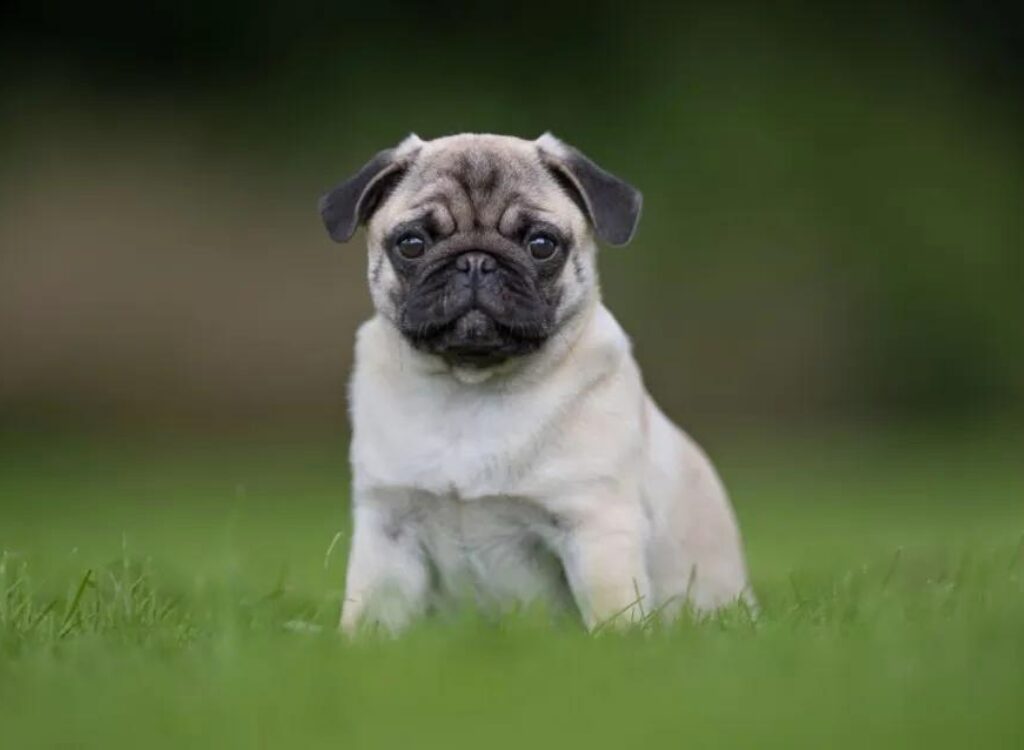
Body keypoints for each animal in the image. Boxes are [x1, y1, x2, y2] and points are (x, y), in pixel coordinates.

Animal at [319, 130, 753, 631]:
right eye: (411, 244)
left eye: (542, 245)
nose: (475, 261)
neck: (471, 390)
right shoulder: (388, 530)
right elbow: (369, 614)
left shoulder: (596, 528)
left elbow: (613, 613)